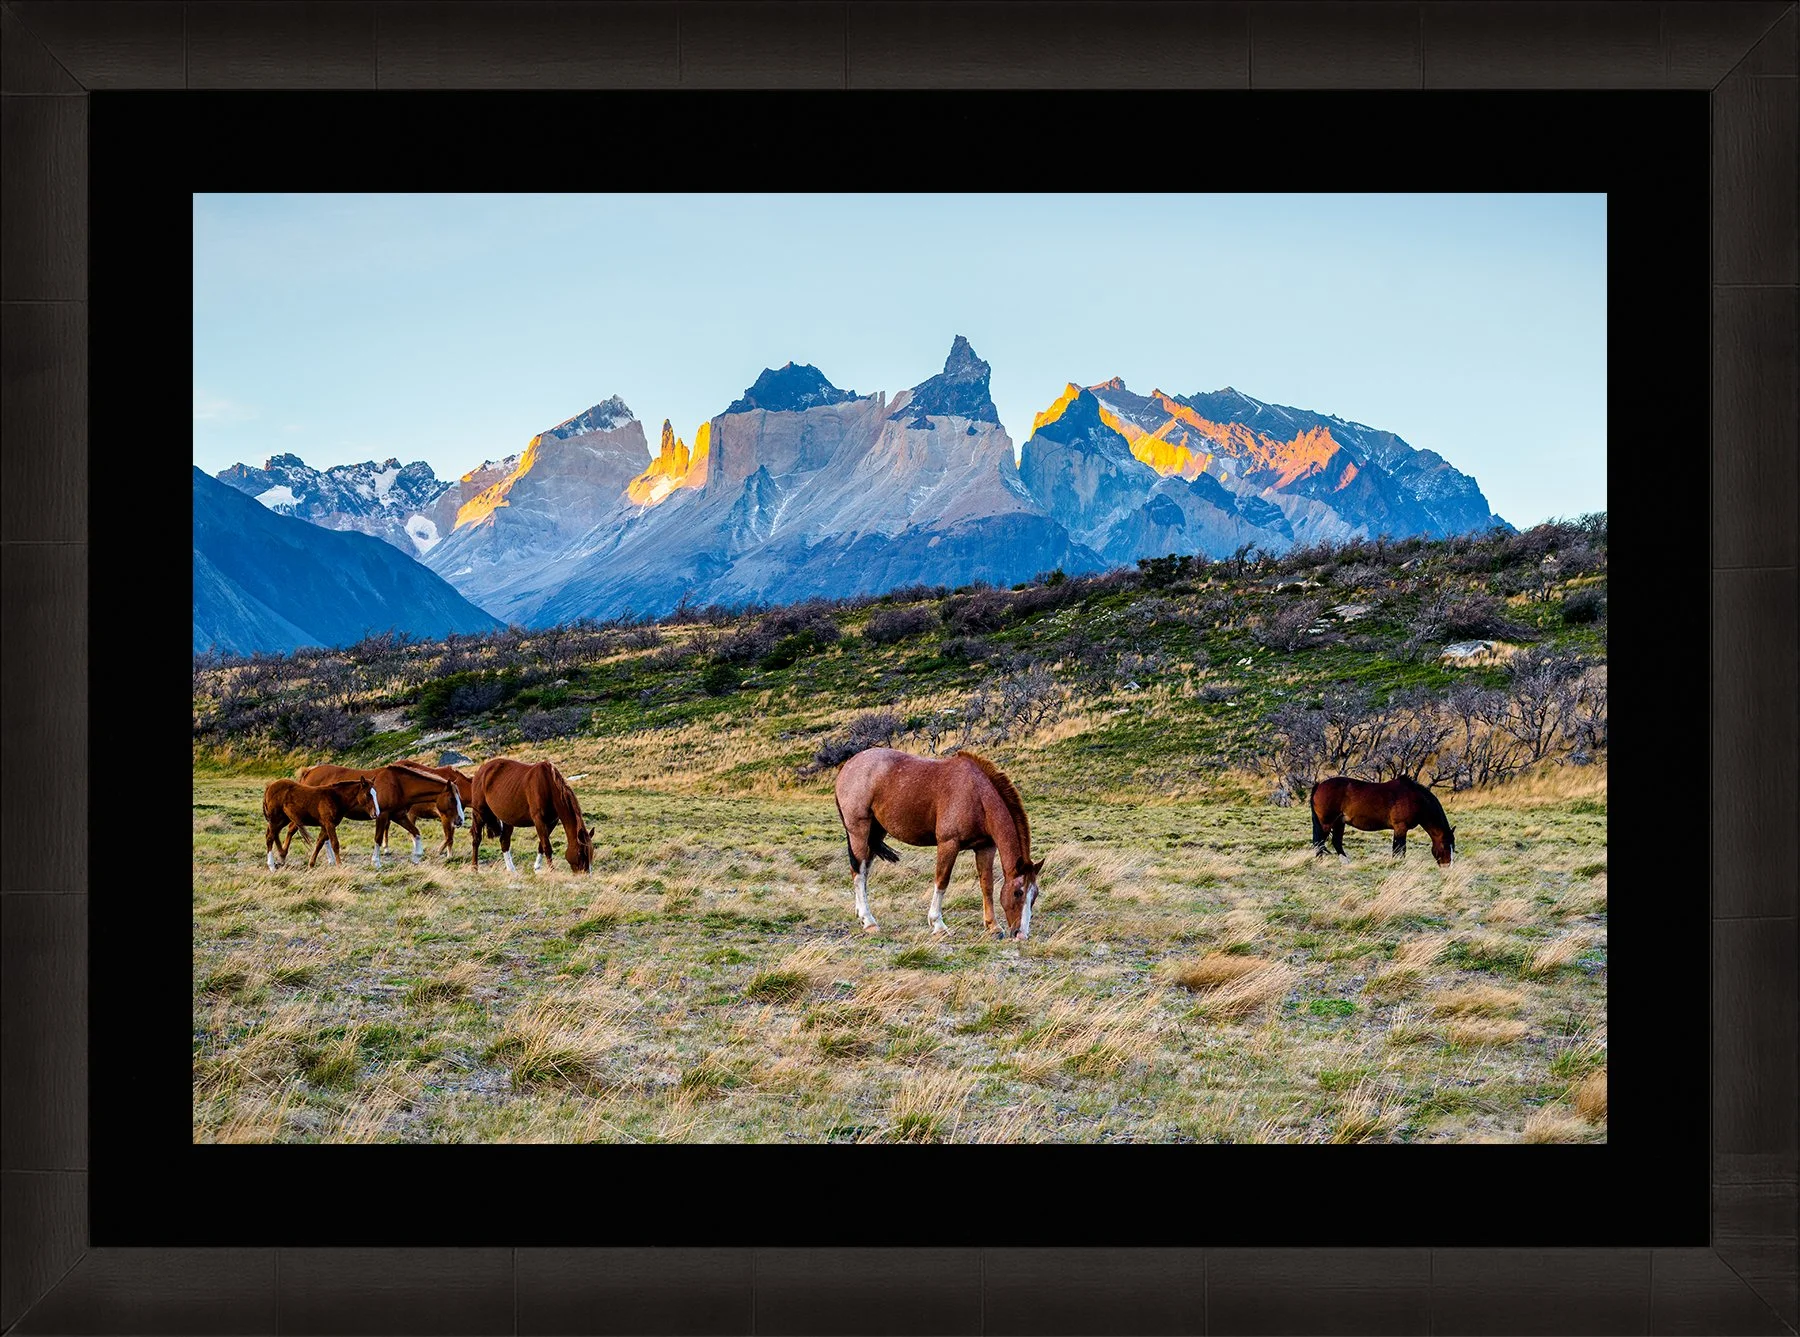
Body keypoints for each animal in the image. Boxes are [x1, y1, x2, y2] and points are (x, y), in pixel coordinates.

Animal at [297, 762, 459, 868]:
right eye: (452, 798)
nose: (460, 820)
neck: (398, 785)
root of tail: (309, 772)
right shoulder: (382, 815)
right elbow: (378, 838)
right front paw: (376, 862)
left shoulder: (399, 816)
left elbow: (416, 832)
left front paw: (416, 857)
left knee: (324, 838)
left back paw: (330, 860)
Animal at [832, 747, 1045, 939]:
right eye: (1018, 892)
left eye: (1034, 895)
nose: (1021, 935)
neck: (977, 795)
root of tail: (848, 766)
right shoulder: (948, 844)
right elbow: (942, 881)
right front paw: (938, 925)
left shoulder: (985, 847)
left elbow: (987, 885)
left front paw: (993, 926)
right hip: (859, 831)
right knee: (858, 872)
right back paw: (869, 922)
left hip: (876, 832)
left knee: (864, 871)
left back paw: (862, 915)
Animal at [1310, 775, 1456, 865]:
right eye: (1445, 845)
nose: (1447, 866)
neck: (1416, 799)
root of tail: (1319, 785)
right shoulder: (1400, 828)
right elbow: (1399, 849)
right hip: (1327, 823)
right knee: (1320, 842)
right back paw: (1321, 862)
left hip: (1339, 822)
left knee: (1335, 841)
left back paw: (1345, 862)